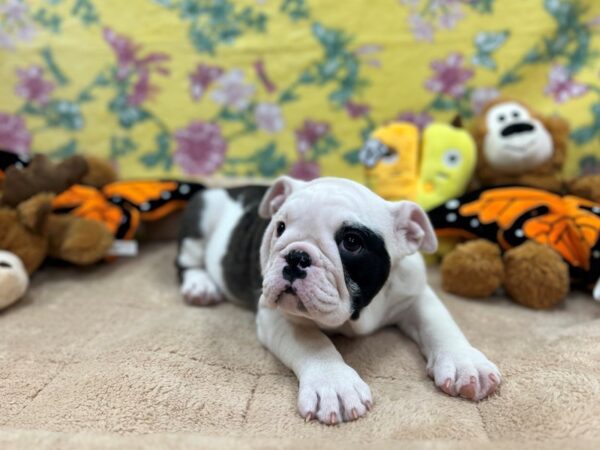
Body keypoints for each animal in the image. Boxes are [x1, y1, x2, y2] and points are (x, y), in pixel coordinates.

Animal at [175, 177, 502, 426]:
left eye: (352, 242)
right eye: (280, 227)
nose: (296, 255)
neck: (359, 313)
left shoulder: (416, 294)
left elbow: (439, 324)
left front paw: (465, 363)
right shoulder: (277, 315)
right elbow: (314, 343)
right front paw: (334, 385)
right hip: (200, 223)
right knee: (185, 261)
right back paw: (200, 285)